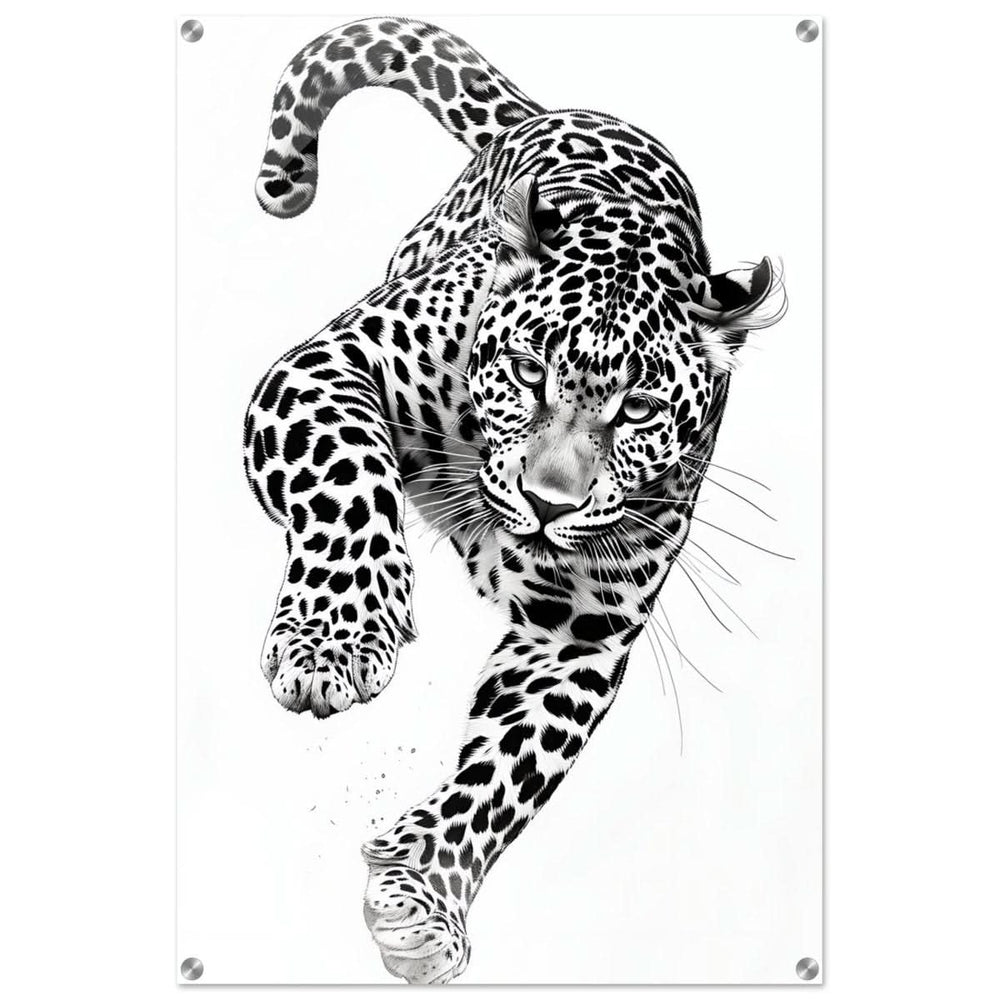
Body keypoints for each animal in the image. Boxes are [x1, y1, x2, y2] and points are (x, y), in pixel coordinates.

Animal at [245, 15, 786, 984]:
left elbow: (507, 770)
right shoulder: (325, 367)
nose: (546, 504)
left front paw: (423, 897)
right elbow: (349, 479)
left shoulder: (580, 630)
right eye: (530, 372)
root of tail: (566, 109)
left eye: (638, 408)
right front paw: (334, 640)